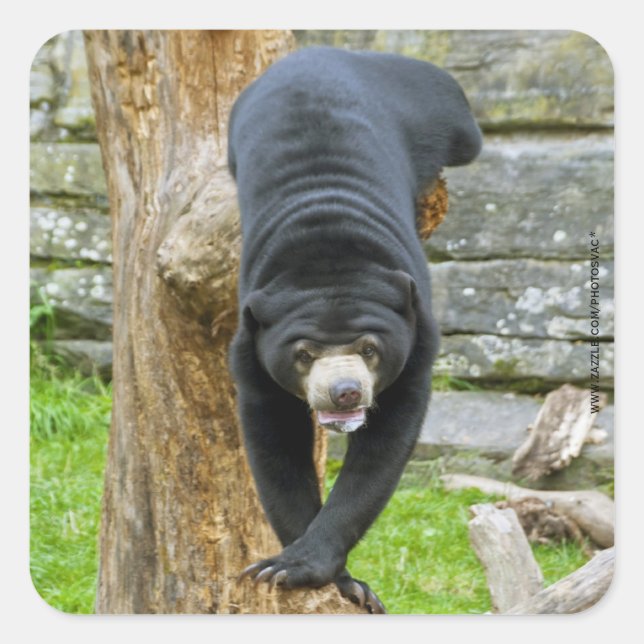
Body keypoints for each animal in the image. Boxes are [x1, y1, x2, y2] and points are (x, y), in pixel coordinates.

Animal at [228, 47, 481, 613]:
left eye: (369, 349)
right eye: (303, 353)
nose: (344, 392)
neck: (328, 260)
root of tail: (320, 51)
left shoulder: (418, 341)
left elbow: (384, 449)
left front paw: (308, 568)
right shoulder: (251, 351)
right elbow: (275, 445)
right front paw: (319, 576)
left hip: (440, 105)